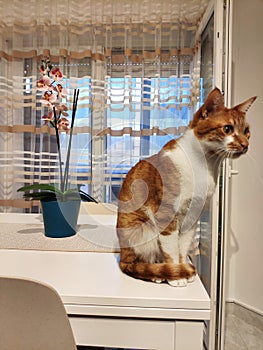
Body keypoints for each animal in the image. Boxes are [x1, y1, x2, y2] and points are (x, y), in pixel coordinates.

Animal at [116, 88, 256, 288]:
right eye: (227, 129)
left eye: (246, 131)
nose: (246, 144)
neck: (205, 166)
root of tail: (122, 254)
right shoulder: (166, 215)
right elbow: (172, 249)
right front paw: (177, 276)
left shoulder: (192, 217)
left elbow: (182, 247)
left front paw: (183, 270)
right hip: (143, 230)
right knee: (137, 263)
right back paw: (157, 274)